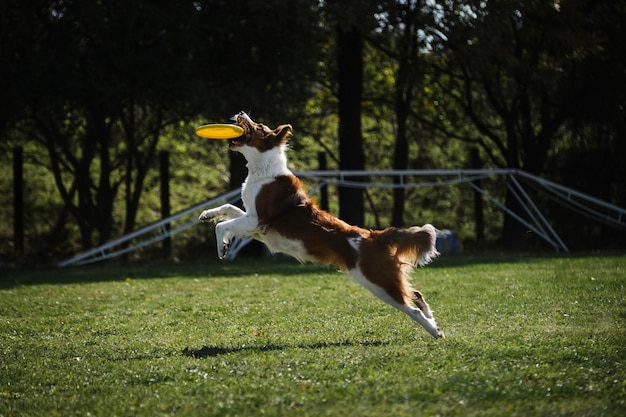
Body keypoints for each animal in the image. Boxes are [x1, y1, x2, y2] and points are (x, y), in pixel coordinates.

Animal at [200, 111, 444, 338]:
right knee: (416, 294)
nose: (241, 113)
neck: (263, 169)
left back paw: (435, 331)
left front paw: (221, 247)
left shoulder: (257, 220)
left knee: (411, 308)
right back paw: (432, 319)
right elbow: (227, 209)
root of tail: (374, 236)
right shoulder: (252, 220)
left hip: (377, 281)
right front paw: (206, 214)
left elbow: (222, 226)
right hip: (384, 279)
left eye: (258, 125)